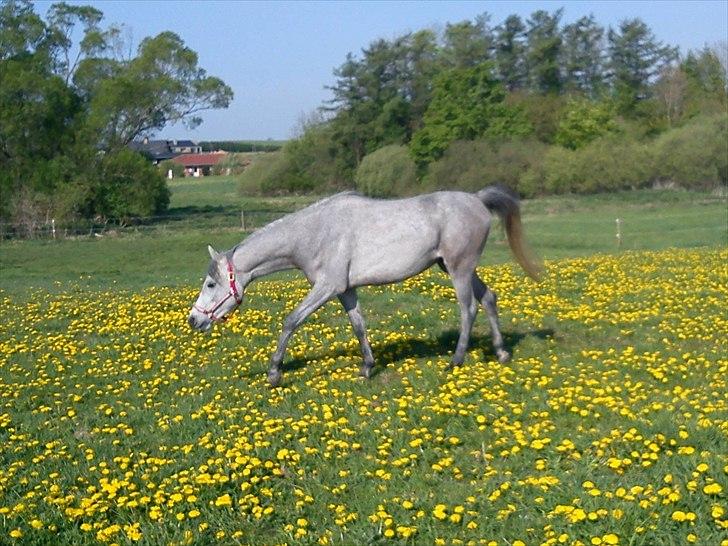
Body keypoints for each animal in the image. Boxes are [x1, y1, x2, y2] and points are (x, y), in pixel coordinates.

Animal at [188, 185, 540, 384]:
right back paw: (501, 352)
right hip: (459, 268)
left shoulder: (327, 288)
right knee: (489, 298)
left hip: (459, 269)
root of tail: (477, 201)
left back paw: (456, 360)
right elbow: (359, 326)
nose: (194, 320)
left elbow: (291, 321)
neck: (314, 234)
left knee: (468, 309)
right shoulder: (345, 291)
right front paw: (367, 367)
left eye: (210, 284)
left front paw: (275, 372)